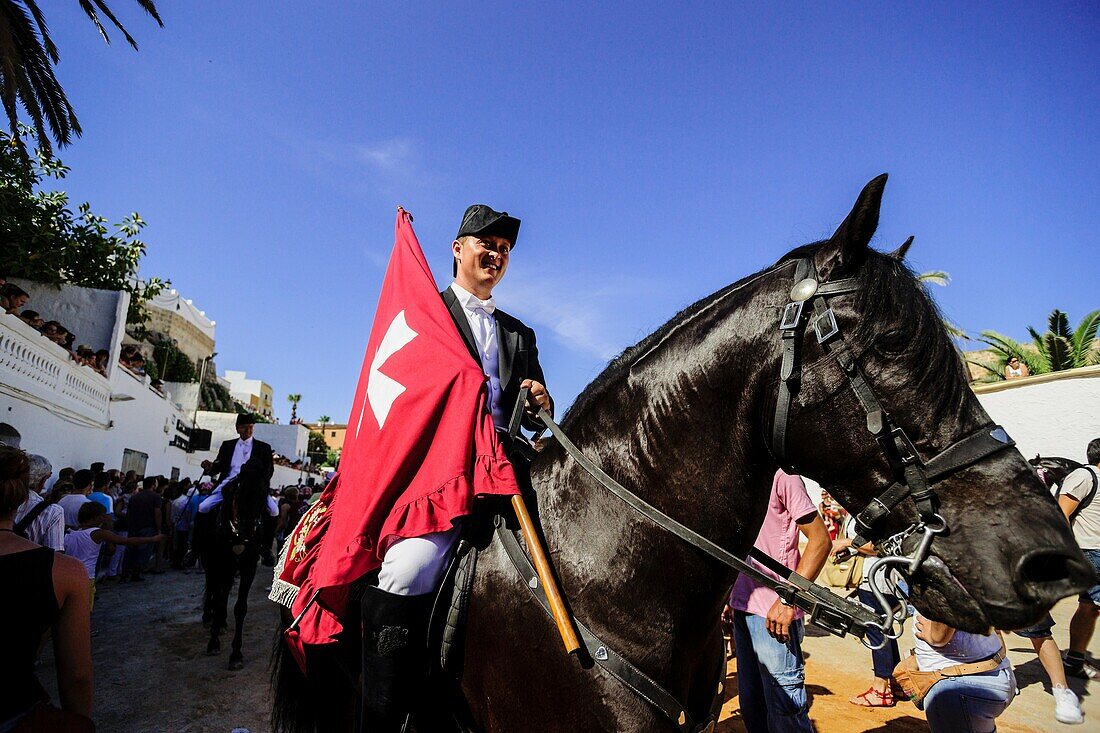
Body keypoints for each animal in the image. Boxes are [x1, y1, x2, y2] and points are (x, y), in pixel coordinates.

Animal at [201, 468, 265, 669]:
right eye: (240, 492)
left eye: (263, 494)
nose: (248, 533)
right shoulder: (219, 562)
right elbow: (218, 597)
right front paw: (213, 643)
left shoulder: (248, 567)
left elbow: (240, 607)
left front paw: (236, 654)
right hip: (210, 562)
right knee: (212, 588)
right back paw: (209, 617)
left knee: (224, 590)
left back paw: (221, 621)